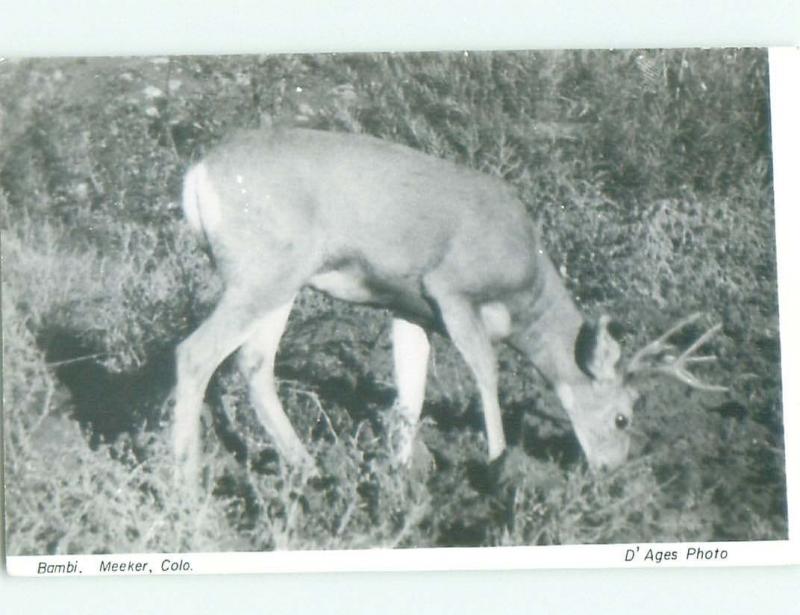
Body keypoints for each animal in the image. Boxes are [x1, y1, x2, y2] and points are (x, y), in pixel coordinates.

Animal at [172, 126, 728, 482]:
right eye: (622, 417)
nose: (612, 470)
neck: (526, 287)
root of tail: (198, 172)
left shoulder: (408, 307)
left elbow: (410, 391)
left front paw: (400, 475)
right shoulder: (452, 289)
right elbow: (486, 373)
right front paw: (500, 462)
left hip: (282, 281)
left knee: (253, 364)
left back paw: (309, 471)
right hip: (264, 269)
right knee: (194, 353)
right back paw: (186, 484)